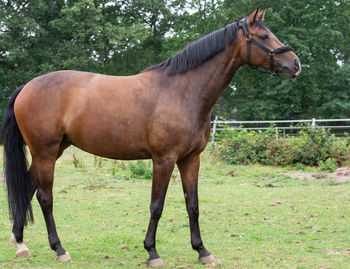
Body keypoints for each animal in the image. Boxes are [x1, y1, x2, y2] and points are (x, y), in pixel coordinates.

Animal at [1, 7, 300, 266]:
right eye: (263, 36)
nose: (295, 63)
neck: (183, 91)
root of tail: (26, 86)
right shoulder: (164, 159)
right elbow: (157, 205)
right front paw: (152, 252)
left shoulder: (191, 159)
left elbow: (193, 205)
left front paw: (202, 250)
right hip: (45, 151)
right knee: (45, 197)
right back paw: (59, 249)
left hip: (53, 151)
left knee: (28, 187)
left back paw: (20, 242)